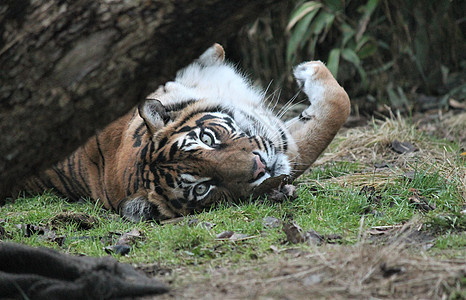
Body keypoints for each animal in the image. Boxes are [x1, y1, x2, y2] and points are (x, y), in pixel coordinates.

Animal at [19, 44, 350, 223]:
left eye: (207, 139)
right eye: (203, 188)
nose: (260, 167)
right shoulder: (285, 144)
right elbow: (334, 113)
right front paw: (310, 70)